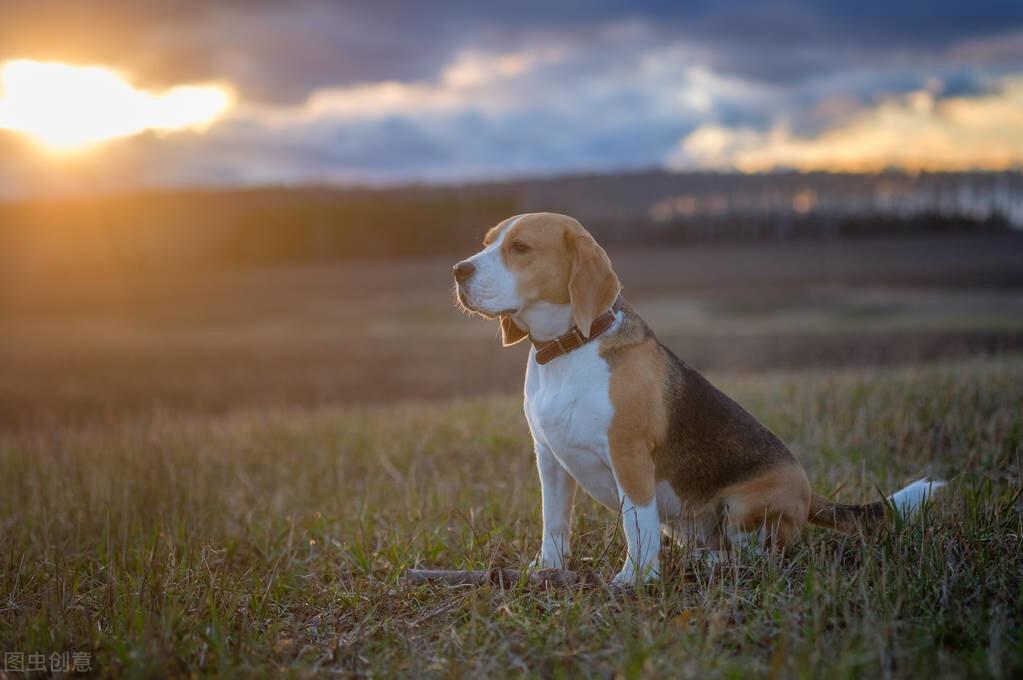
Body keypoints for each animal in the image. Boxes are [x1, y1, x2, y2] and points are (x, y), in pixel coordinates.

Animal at [454, 212, 941, 584]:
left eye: (520, 247)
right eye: (487, 242)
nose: (458, 270)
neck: (568, 349)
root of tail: (808, 490)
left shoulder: (629, 456)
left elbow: (637, 524)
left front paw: (635, 579)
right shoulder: (550, 459)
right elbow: (553, 522)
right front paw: (546, 569)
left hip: (746, 506)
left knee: (763, 555)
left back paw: (716, 563)